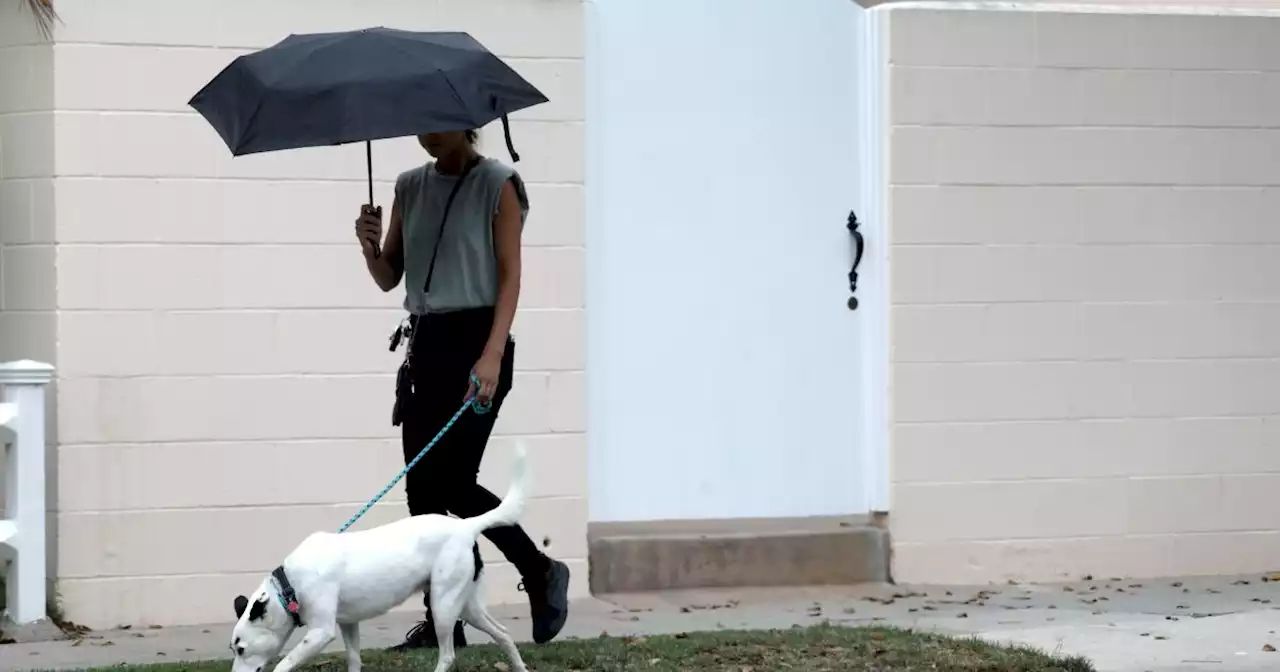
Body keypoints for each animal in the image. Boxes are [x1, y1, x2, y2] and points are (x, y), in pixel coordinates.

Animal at [229, 442, 529, 665]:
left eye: (241, 649)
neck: (288, 586)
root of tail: (465, 526)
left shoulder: (320, 633)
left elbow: (284, 663)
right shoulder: (349, 624)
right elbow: (353, 660)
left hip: (443, 606)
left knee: (448, 656)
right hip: (465, 605)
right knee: (503, 634)